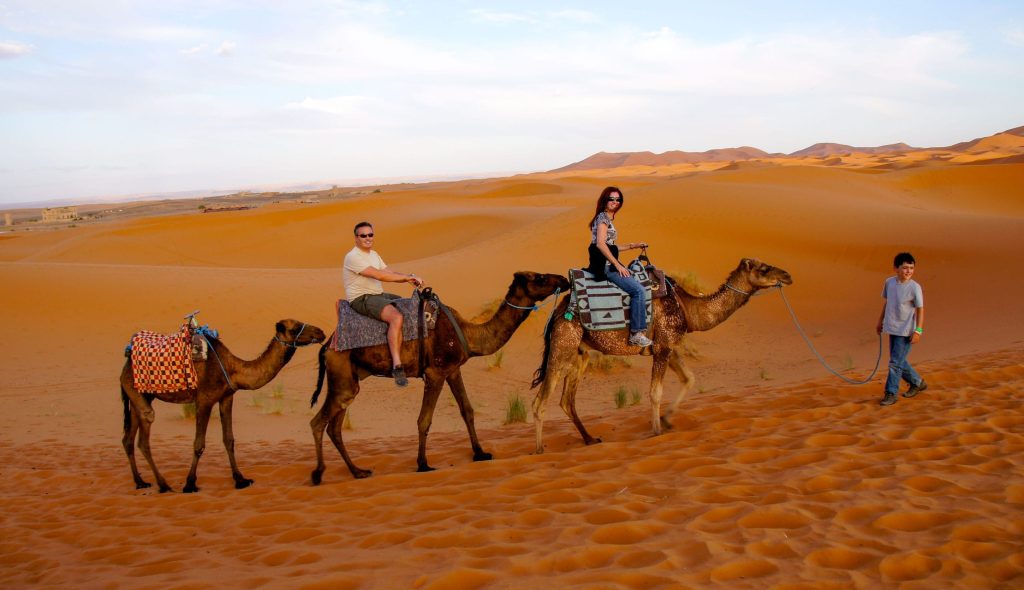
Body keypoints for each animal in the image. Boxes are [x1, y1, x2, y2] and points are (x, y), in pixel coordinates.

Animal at [307, 270, 573, 481]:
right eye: (539, 277)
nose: (563, 279)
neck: (468, 333)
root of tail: (327, 346)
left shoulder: (453, 369)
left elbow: (467, 411)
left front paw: (481, 453)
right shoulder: (435, 372)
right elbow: (424, 420)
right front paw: (423, 464)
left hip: (349, 381)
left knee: (335, 427)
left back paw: (358, 471)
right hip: (342, 375)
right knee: (318, 422)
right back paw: (318, 474)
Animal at [532, 256, 794, 454]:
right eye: (764, 268)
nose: (787, 275)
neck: (688, 308)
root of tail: (559, 310)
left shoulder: (670, 345)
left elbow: (689, 378)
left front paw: (668, 420)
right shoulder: (662, 347)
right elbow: (655, 392)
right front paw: (656, 431)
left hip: (580, 352)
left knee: (567, 400)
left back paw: (590, 439)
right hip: (563, 342)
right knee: (540, 401)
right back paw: (539, 449)